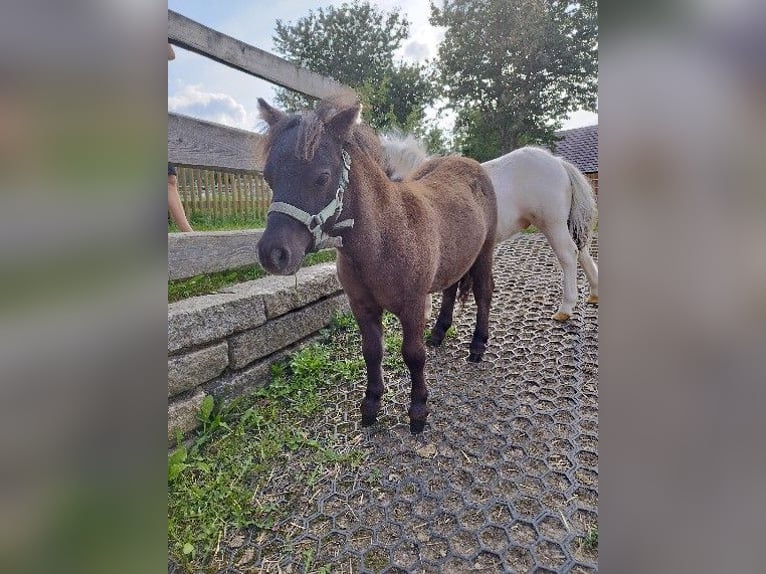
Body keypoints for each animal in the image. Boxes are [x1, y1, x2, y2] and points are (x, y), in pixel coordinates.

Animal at [258, 95, 498, 436]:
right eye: (269, 177)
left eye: (322, 176)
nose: (273, 254)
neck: (384, 237)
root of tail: (469, 163)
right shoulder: (362, 305)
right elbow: (372, 352)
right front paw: (371, 406)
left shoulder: (412, 306)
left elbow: (413, 355)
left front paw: (418, 410)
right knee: (451, 289)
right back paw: (439, 333)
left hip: (485, 251)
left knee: (483, 293)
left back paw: (477, 345)